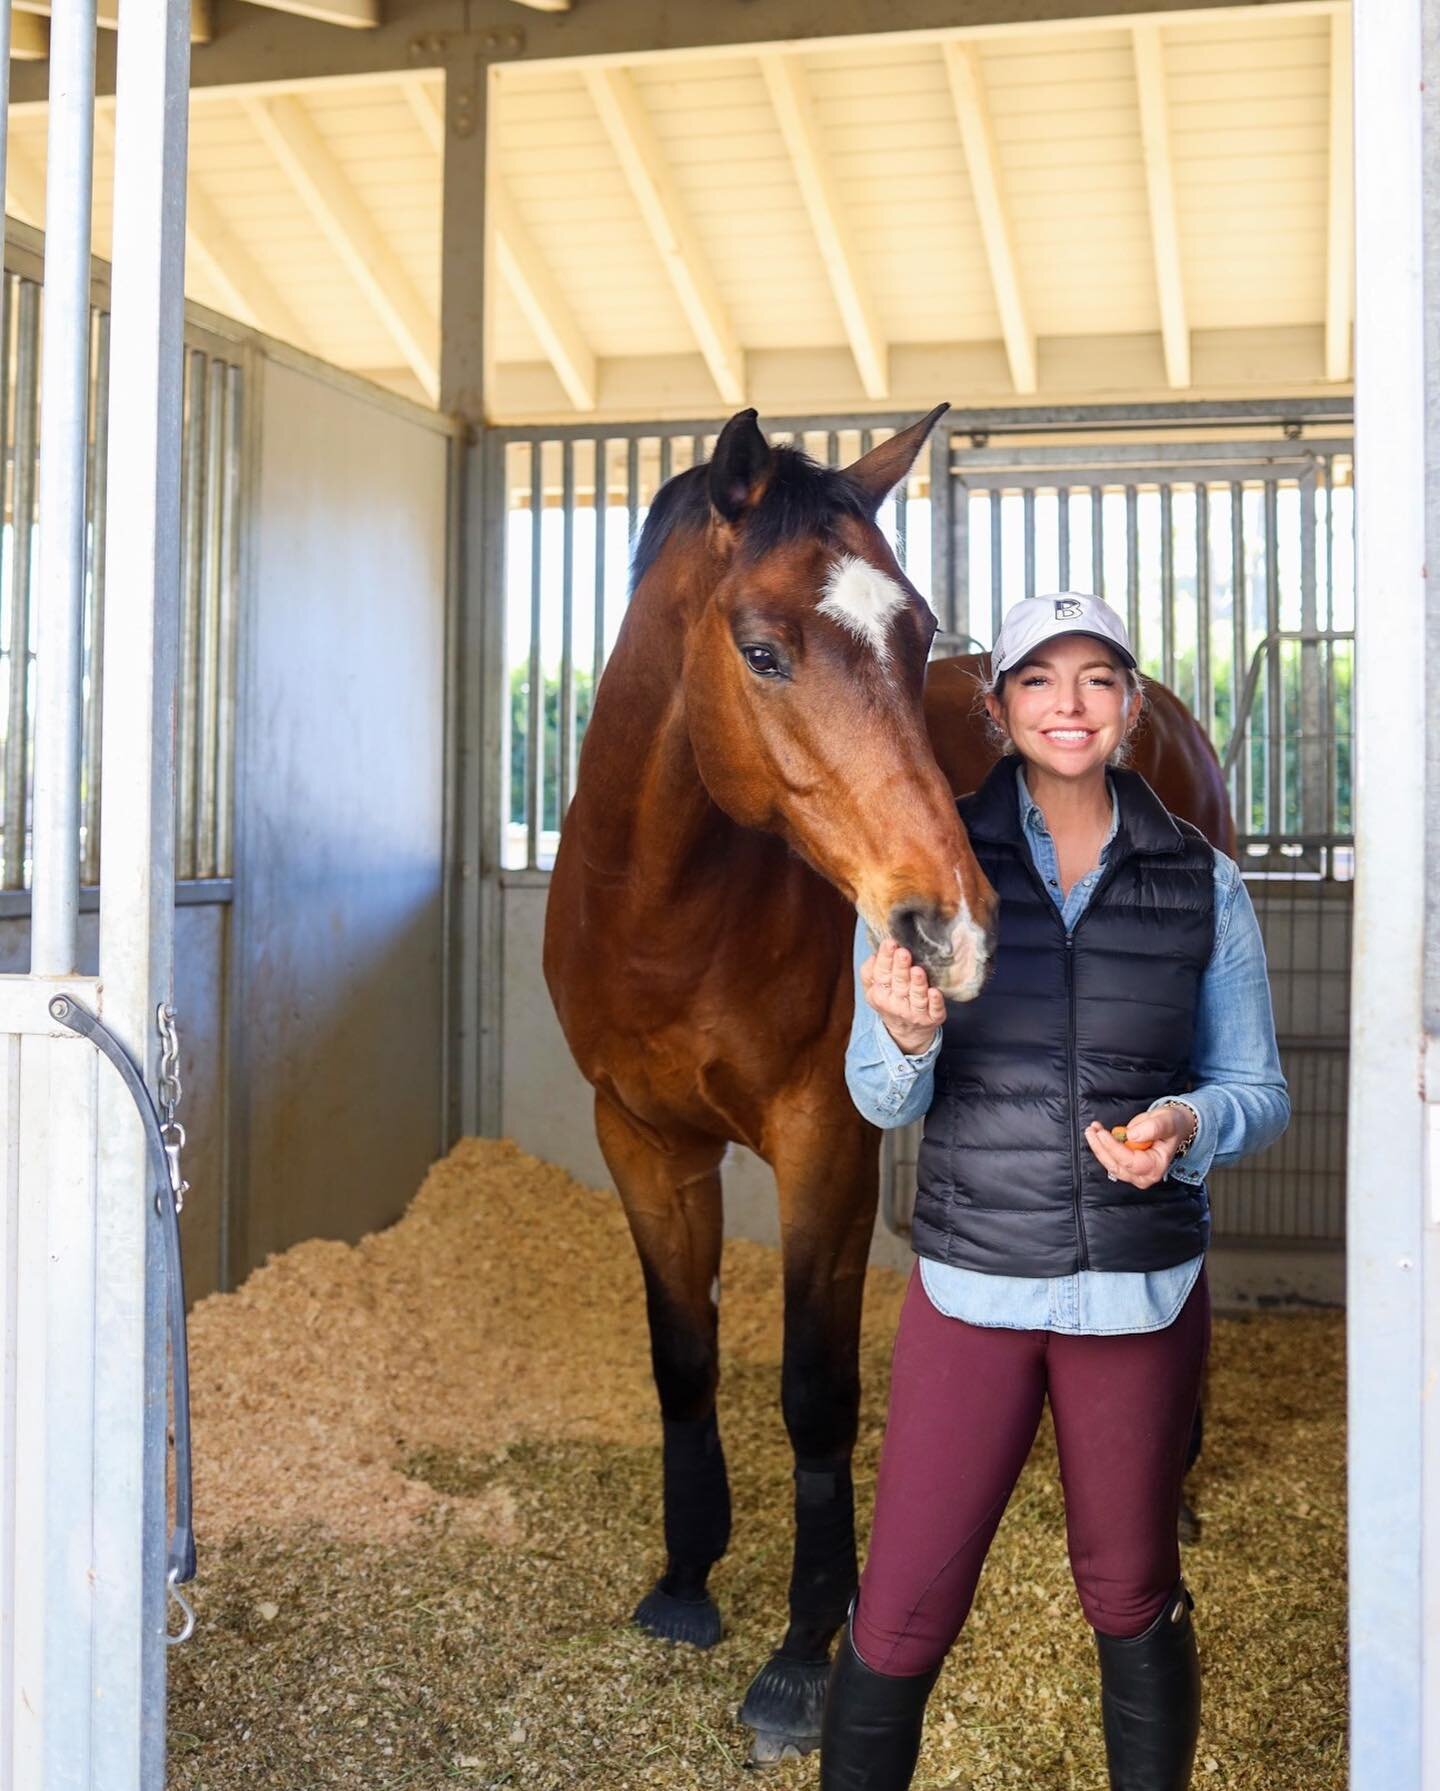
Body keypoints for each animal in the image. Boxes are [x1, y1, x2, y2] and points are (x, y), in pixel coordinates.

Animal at [544, 406, 1232, 1762]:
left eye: (916, 634)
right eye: (762, 651)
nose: (950, 925)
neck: (665, 913)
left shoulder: (826, 1142)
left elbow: (816, 1393)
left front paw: (804, 1656)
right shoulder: (639, 1137)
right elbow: (682, 1359)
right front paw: (684, 1582)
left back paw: (1171, 1486)